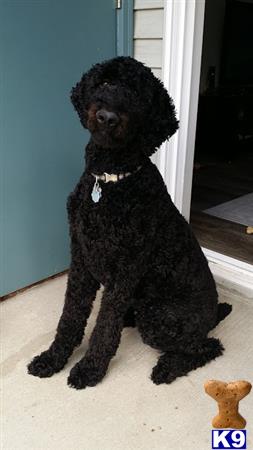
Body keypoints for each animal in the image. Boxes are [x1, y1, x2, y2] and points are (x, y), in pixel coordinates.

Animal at [27, 56, 231, 388]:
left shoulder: (125, 269)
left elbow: (104, 327)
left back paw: (167, 367)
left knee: (208, 345)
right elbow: (70, 315)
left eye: (138, 95)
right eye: (106, 82)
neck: (110, 181)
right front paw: (52, 357)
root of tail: (213, 313)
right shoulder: (81, 257)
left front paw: (89, 368)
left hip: (159, 316)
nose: (107, 117)